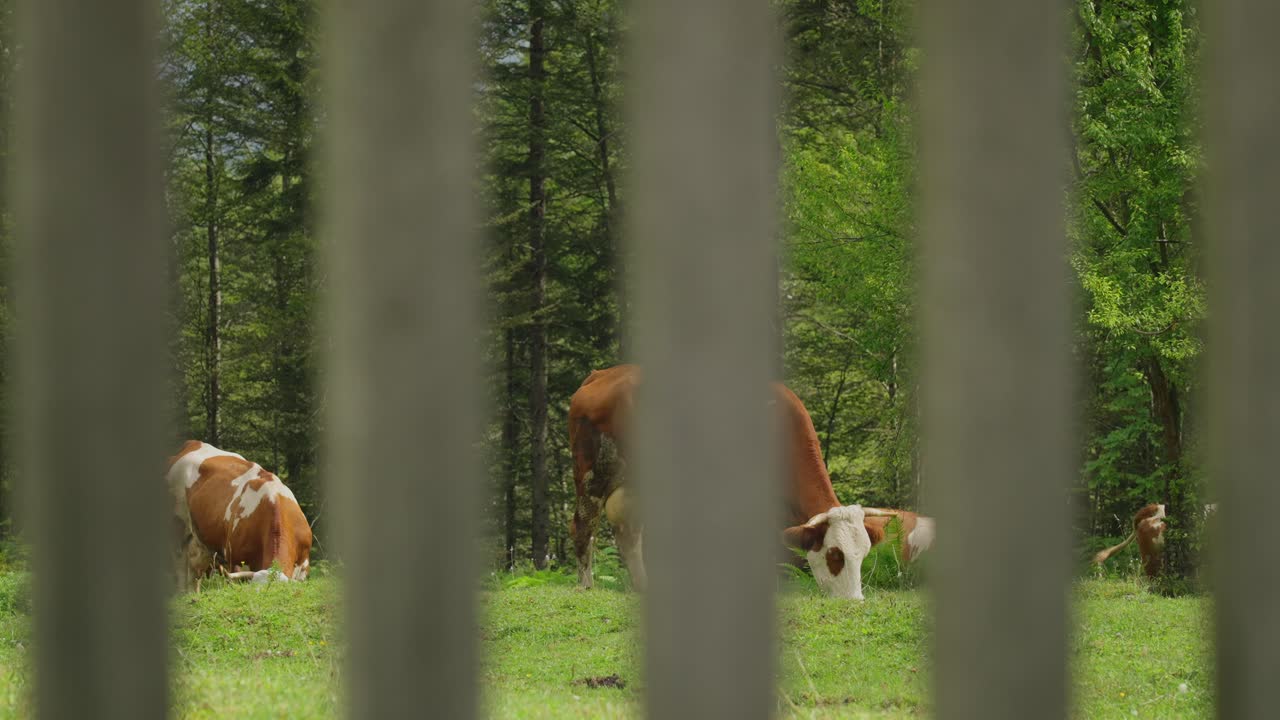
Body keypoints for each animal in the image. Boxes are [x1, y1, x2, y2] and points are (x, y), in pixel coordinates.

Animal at [166, 440, 313, 590]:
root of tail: (193, 443)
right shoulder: (236, 563)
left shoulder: (303, 566)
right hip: (177, 530)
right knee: (180, 570)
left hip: (201, 544)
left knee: (194, 574)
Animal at [568, 364, 895, 600]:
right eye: (834, 555)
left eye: (864, 553)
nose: (854, 600)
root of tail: (601, 374)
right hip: (594, 471)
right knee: (583, 525)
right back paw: (586, 584)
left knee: (629, 532)